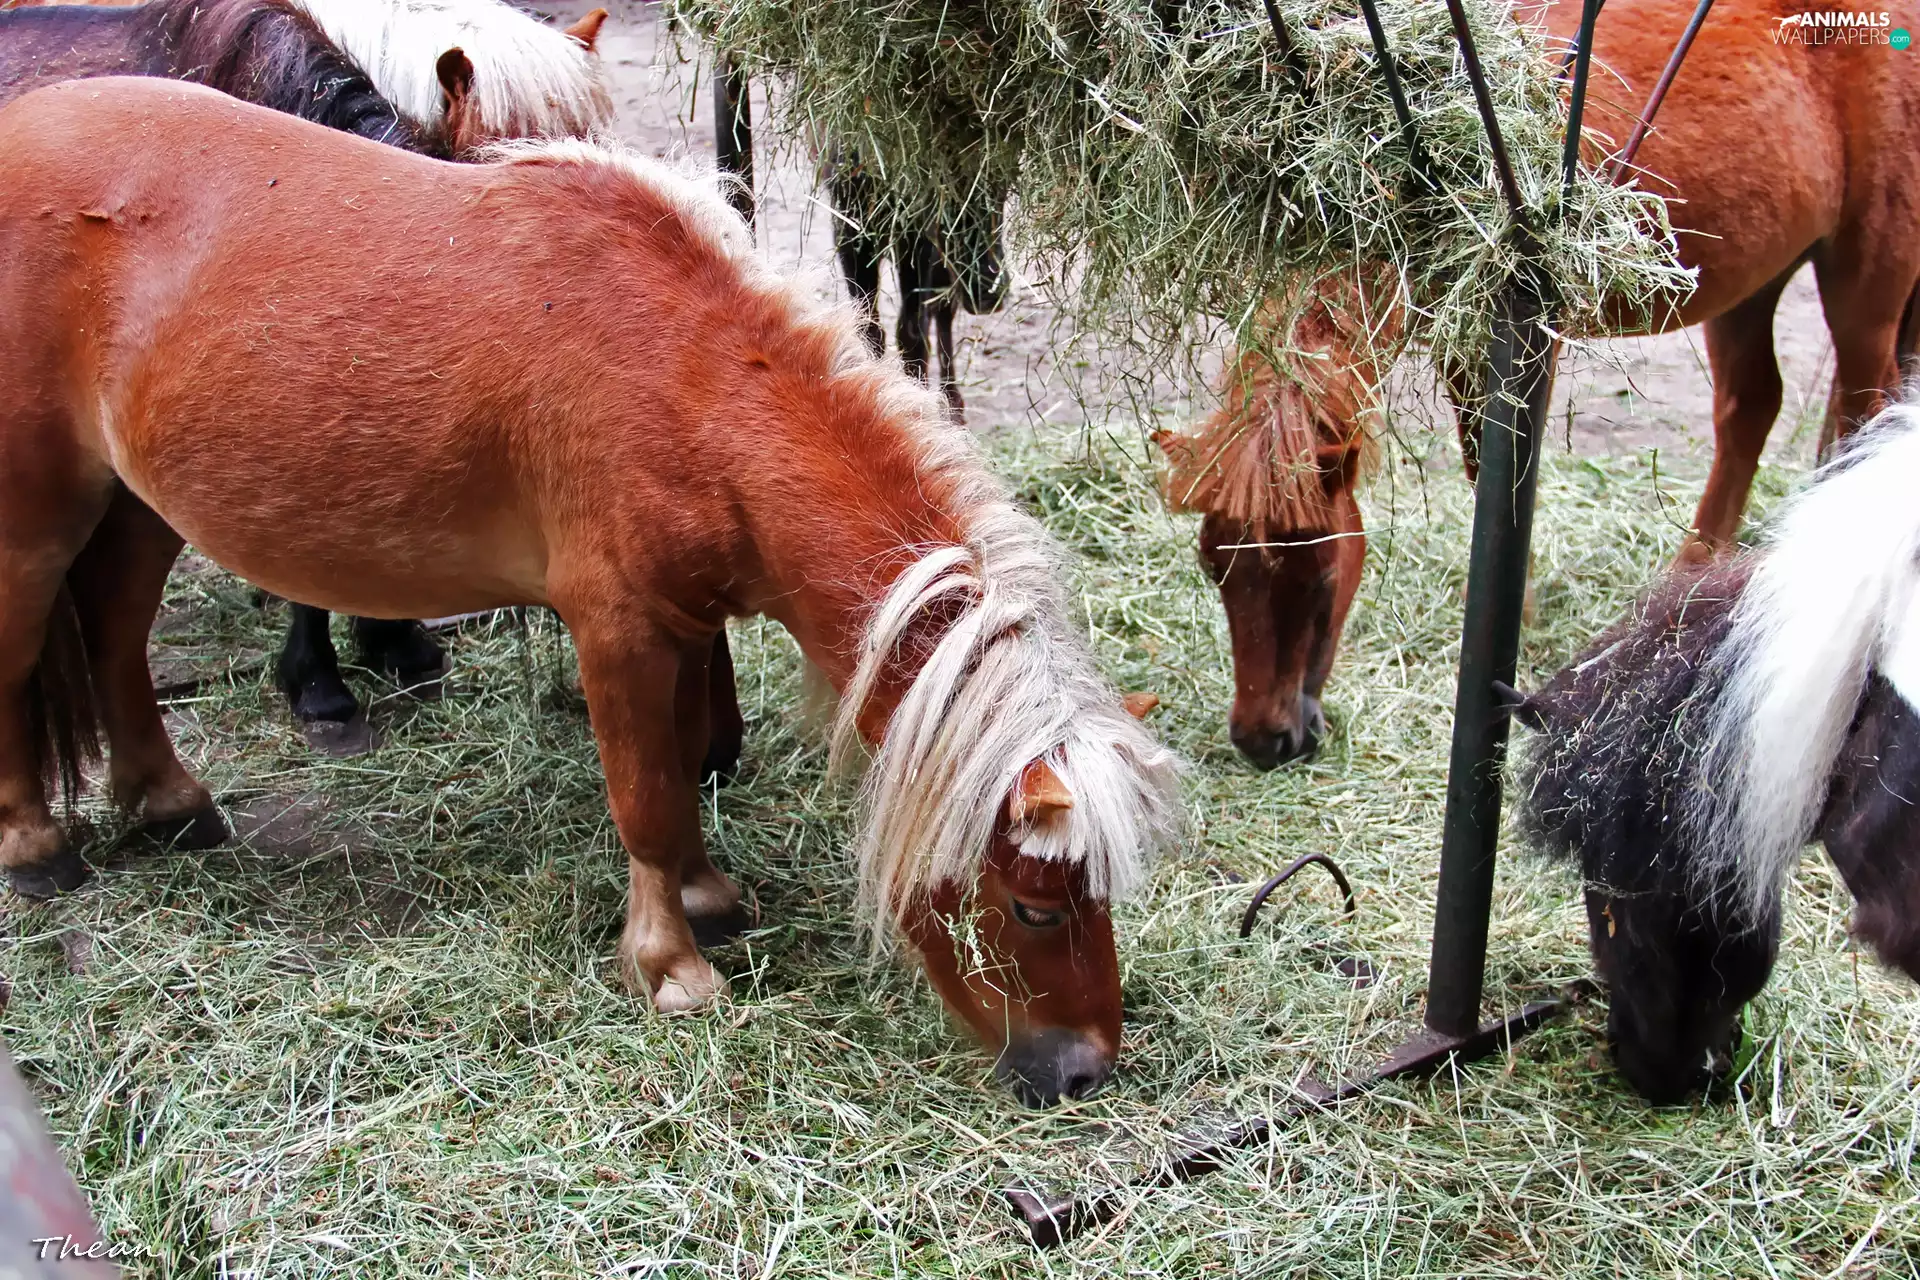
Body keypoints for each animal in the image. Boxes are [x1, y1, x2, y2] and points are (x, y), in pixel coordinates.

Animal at [0, 78, 1183, 1104]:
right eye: (1034, 909)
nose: (1084, 1068)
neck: (690, 380)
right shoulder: (616, 629)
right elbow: (647, 797)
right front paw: (672, 966)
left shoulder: (682, 624)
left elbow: (687, 759)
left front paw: (707, 899)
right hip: (38, 514)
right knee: (21, 662)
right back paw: (36, 847)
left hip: (140, 505)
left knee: (114, 636)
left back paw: (168, 804)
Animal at [1154, 0, 1920, 767]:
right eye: (1214, 567)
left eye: (1317, 575)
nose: (1264, 740)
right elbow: (1481, 466)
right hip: (1755, 280)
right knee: (1753, 409)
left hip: (1866, 280)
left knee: (1863, 411)